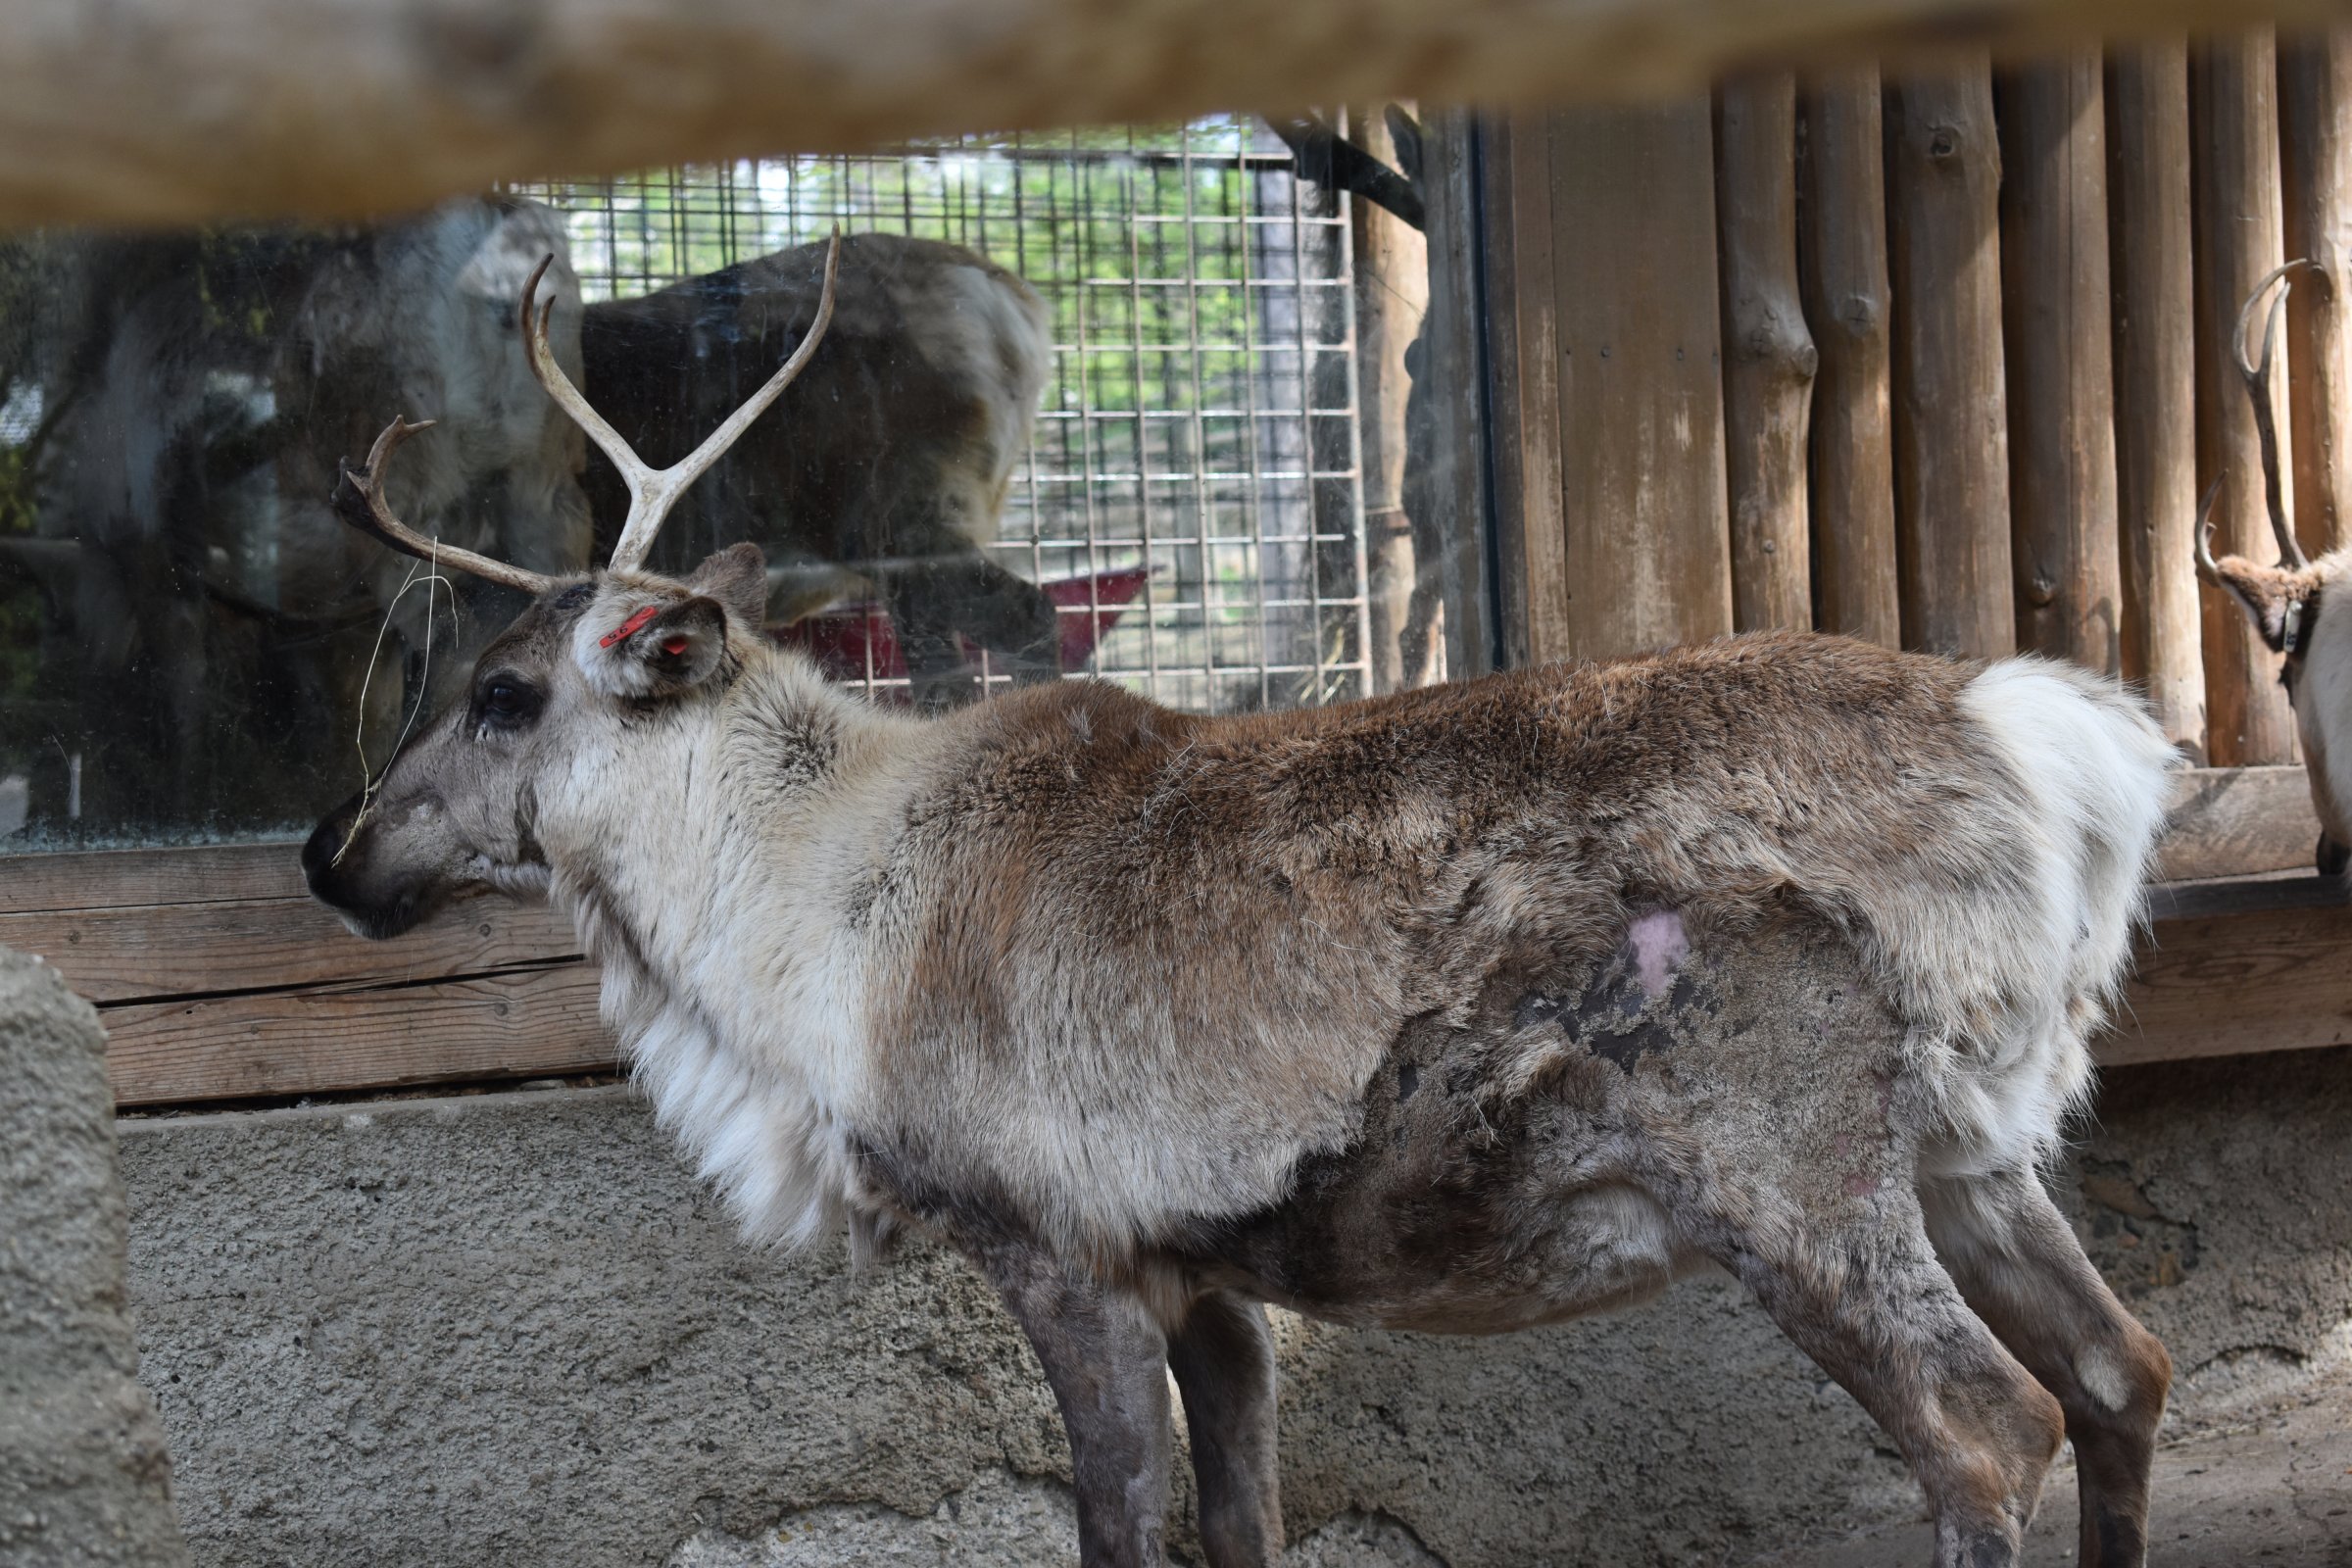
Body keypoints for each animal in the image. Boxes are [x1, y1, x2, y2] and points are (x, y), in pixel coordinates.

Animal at [301, 232, 2183, 1568]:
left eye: (502, 692)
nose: (334, 854)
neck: (806, 924)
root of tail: (2053, 751)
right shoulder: (1208, 1275)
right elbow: (1242, 1524)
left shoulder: (1058, 1249)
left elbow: (1121, 1531)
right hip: (1973, 1150)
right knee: (2120, 1373)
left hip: (1791, 1165)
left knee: (1988, 1429)